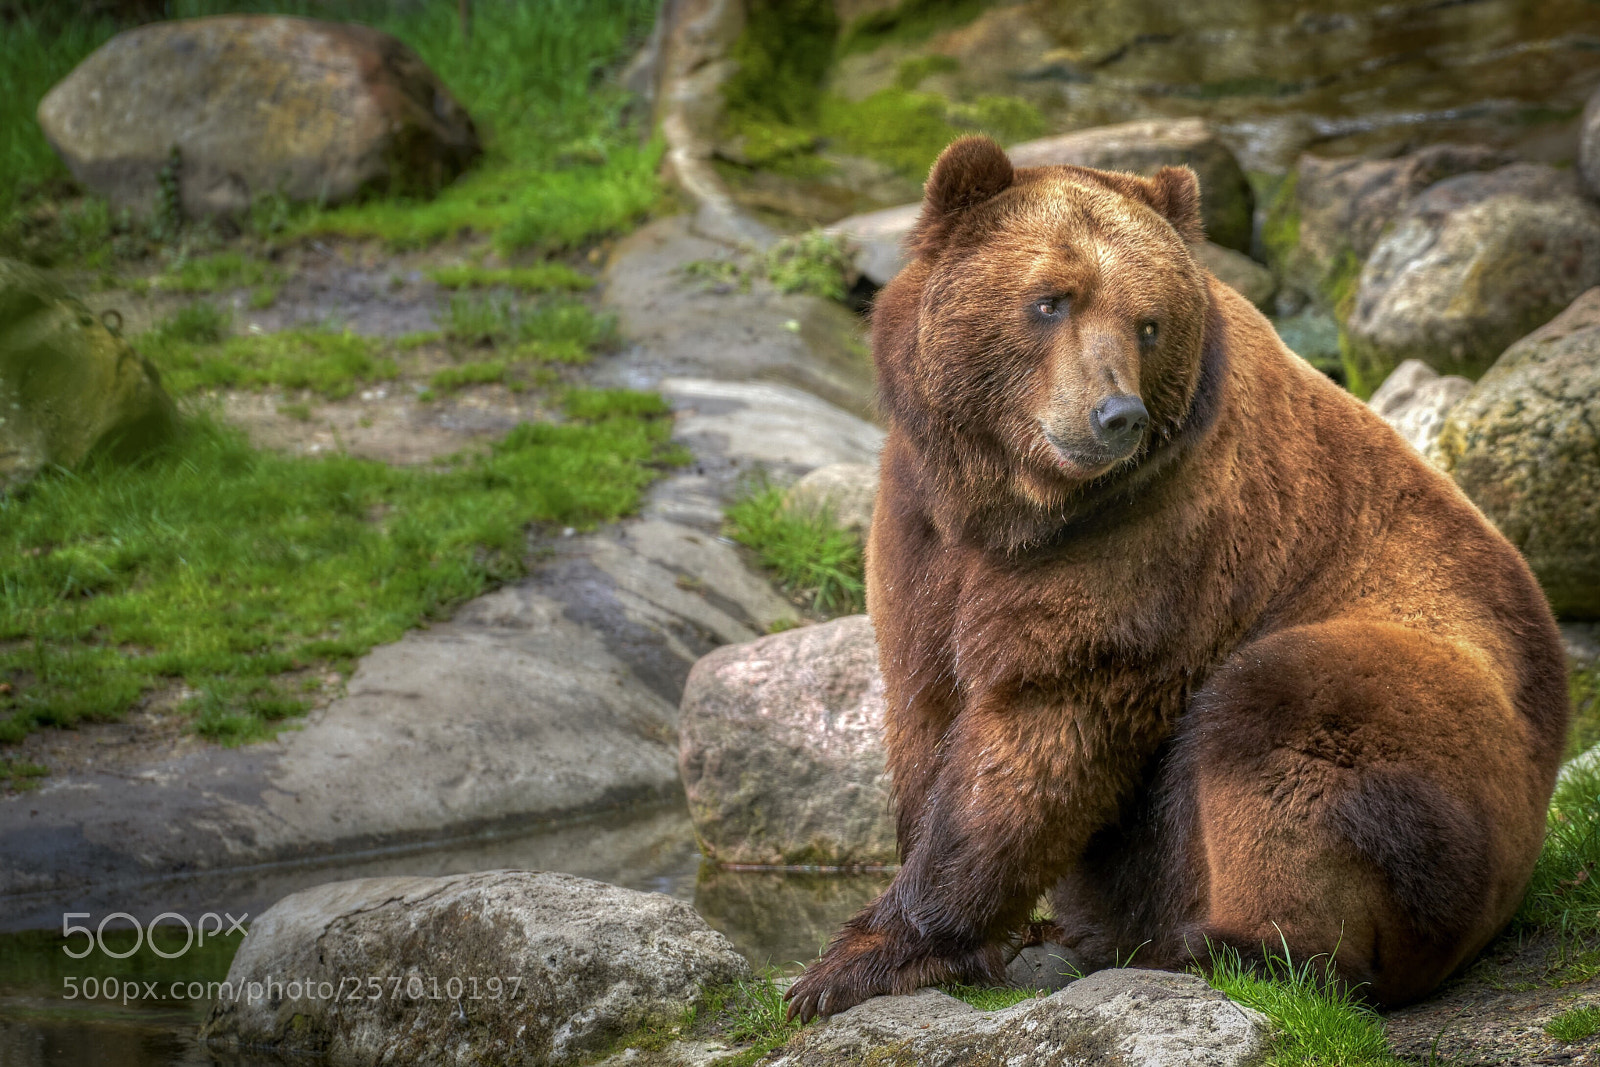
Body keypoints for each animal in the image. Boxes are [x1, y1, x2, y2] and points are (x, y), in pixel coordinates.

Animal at [785, 136, 1569, 1020]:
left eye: (1148, 322)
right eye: (1051, 301)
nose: (1115, 415)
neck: (1011, 508)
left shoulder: (1154, 541)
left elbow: (1036, 731)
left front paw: (862, 959)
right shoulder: (922, 531)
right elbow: (928, 707)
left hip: (1441, 720)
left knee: (1283, 717)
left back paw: (1226, 946)